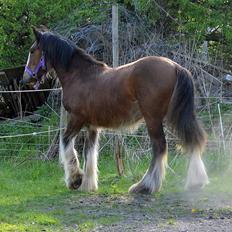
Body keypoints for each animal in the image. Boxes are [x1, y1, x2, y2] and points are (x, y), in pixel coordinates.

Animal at [22, 27, 209, 194]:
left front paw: (75, 179)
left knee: (160, 147)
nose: (26, 79)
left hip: (153, 119)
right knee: (193, 140)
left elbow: (66, 143)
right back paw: (196, 182)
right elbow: (89, 153)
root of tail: (176, 66)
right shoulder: (92, 126)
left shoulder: (76, 119)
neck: (81, 76)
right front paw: (88, 184)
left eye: (32, 50)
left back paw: (145, 186)